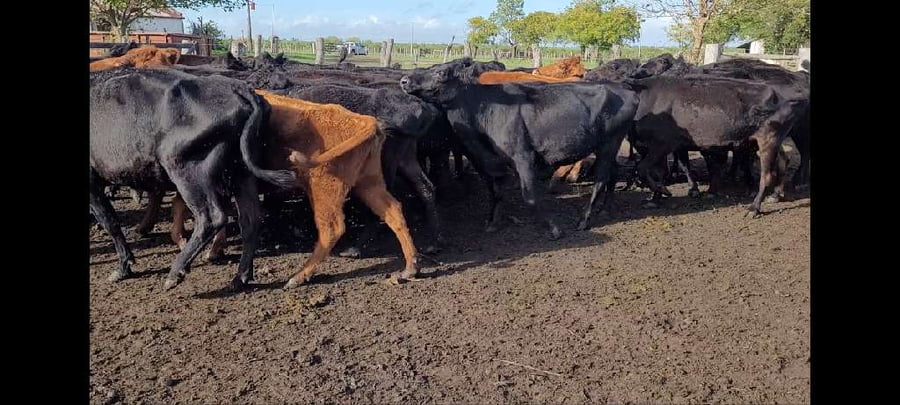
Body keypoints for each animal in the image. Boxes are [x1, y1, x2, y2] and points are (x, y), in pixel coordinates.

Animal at [90, 68, 296, 290]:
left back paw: (175, 272)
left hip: (187, 170)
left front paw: (123, 267)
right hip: (241, 173)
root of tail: (237, 87)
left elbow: (110, 221)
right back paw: (240, 278)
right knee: (250, 221)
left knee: (212, 218)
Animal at [400, 58, 639, 237]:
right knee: (612, 174)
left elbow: (529, 197)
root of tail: (626, 90)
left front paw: (554, 228)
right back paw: (605, 210)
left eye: (441, 73)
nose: (404, 80)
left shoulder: (523, 156)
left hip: (609, 143)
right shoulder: (489, 162)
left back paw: (584, 219)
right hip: (608, 146)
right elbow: (495, 192)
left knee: (601, 178)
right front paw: (493, 223)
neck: (484, 109)